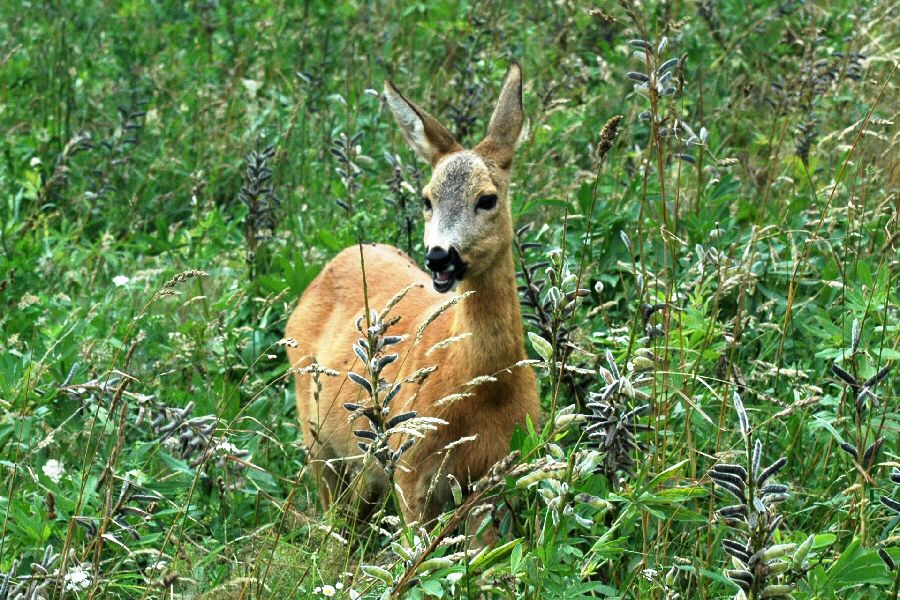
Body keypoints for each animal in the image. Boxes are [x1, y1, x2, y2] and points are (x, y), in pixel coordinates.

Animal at [288, 64, 536, 524]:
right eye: (426, 199)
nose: (439, 257)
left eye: (487, 199)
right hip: (316, 437)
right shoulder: (408, 466)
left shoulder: (491, 475)